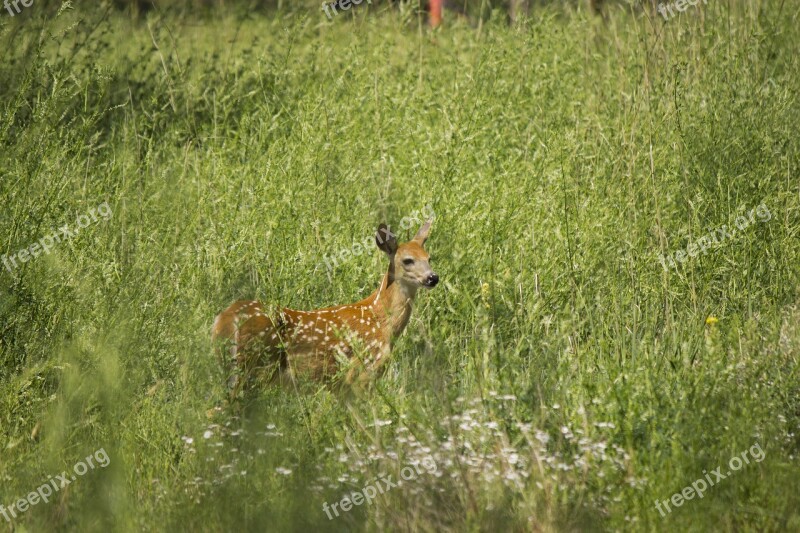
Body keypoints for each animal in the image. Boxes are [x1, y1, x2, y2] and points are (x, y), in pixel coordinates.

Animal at [211, 218, 438, 396]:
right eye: (408, 260)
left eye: (429, 258)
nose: (433, 278)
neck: (381, 321)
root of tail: (225, 320)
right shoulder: (362, 373)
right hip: (253, 367)